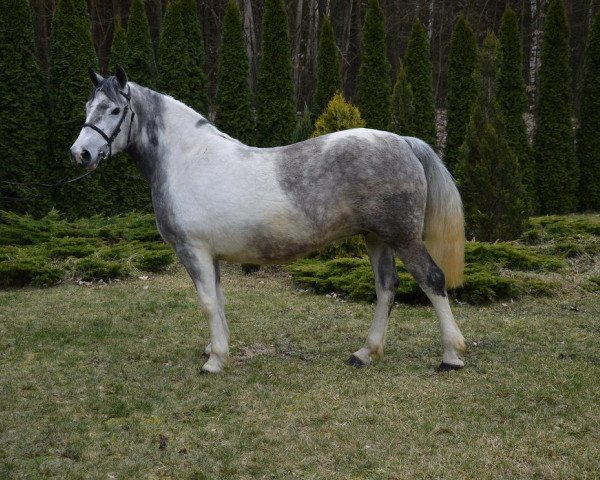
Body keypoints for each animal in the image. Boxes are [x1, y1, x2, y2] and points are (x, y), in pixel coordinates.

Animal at [68, 67, 466, 374]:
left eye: (115, 110)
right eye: (88, 106)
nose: (80, 153)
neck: (188, 159)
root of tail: (402, 141)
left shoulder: (193, 250)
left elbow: (207, 302)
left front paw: (214, 362)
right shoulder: (211, 255)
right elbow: (219, 300)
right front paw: (217, 349)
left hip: (403, 238)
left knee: (432, 280)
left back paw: (450, 357)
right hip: (376, 238)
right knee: (387, 288)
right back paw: (365, 353)